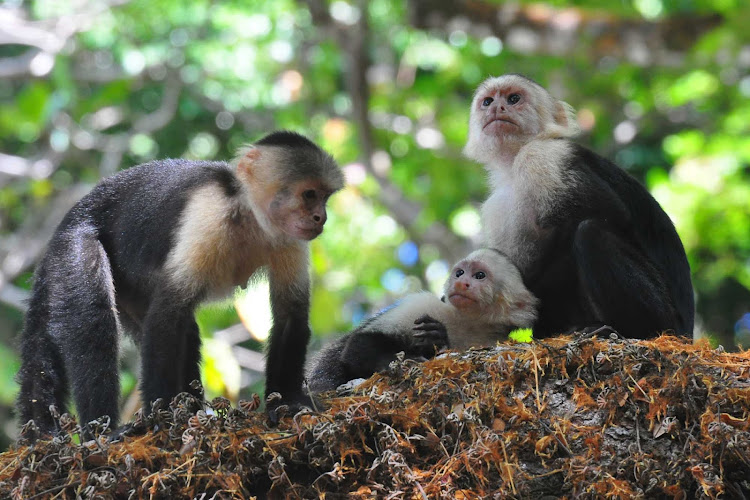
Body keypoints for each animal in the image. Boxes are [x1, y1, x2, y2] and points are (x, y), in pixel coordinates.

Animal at [16, 130, 344, 434]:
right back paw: (103, 429)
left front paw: (287, 400)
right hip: (72, 245)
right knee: (95, 324)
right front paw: (159, 418)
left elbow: (290, 315)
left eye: (325, 198)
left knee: (184, 329)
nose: (321, 218)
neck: (250, 215)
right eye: (309, 195)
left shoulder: (290, 239)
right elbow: (167, 314)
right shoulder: (209, 214)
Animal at [306, 248, 540, 392]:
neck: (469, 322)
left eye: (479, 275)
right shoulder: (425, 305)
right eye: (460, 273)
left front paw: (436, 339)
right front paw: (410, 359)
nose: (461, 283)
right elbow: (358, 345)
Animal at [468, 73, 696, 340]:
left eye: (514, 99)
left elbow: (611, 214)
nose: (497, 108)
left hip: (666, 317)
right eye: (487, 101)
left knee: (590, 233)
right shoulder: (496, 205)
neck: (513, 165)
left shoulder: (544, 156)